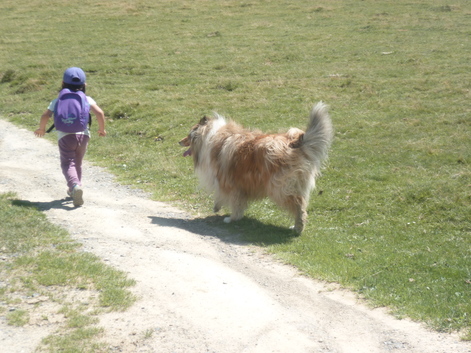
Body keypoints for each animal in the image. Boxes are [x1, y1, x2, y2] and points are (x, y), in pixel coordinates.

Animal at [179, 102, 334, 232]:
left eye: (188, 135)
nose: (179, 141)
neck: (209, 136)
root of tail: (295, 142)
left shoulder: (229, 181)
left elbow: (234, 202)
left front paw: (231, 218)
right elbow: (224, 197)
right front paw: (218, 207)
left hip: (280, 187)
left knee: (299, 206)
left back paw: (298, 228)